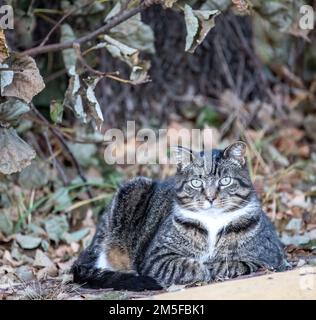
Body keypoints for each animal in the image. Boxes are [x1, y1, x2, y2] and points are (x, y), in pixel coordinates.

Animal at [72, 142, 288, 290]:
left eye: (225, 181)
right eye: (196, 183)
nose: (210, 197)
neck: (213, 222)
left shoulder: (267, 256)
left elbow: (231, 263)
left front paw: (212, 266)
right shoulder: (157, 256)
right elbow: (186, 265)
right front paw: (203, 269)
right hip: (132, 190)